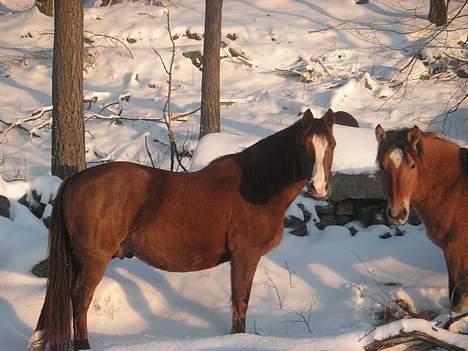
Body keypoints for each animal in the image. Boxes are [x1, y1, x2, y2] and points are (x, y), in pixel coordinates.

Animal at [30, 108, 336, 350]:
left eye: (331, 145)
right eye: (305, 146)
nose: (319, 188)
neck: (255, 186)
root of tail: (73, 181)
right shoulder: (245, 257)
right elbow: (240, 303)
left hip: (75, 259)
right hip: (93, 260)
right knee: (80, 300)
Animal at [374, 125, 468, 314]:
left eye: (412, 165)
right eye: (382, 166)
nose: (397, 213)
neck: (455, 188)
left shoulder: (456, 251)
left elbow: (457, 300)